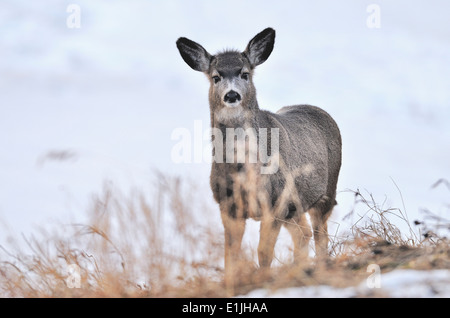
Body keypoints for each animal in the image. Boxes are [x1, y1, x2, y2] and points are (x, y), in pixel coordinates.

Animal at [176, 28, 342, 288]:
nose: (231, 95)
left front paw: (264, 283)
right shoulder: (228, 205)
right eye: (216, 77)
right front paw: (231, 284)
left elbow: (263, 252)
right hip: (295, 207)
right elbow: (230, 254)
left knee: (320, 234)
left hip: (325, 193)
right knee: (303, 234)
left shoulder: (275, 202)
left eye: (245, 73)